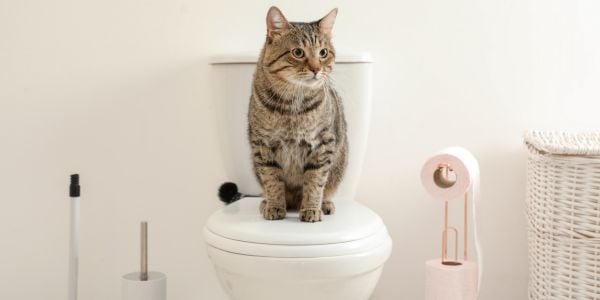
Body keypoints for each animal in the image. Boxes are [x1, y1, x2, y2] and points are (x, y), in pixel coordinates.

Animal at [247, 6, 346, 223]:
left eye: (323, 52)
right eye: (298, 52)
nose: (316, 69)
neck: (293, 104)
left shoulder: (323, 145)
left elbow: (315, 182)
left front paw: (311, 208)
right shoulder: (263, 146)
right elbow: (272, 181)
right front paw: (275, 206)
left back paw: (324, 205)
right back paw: (266, 202)